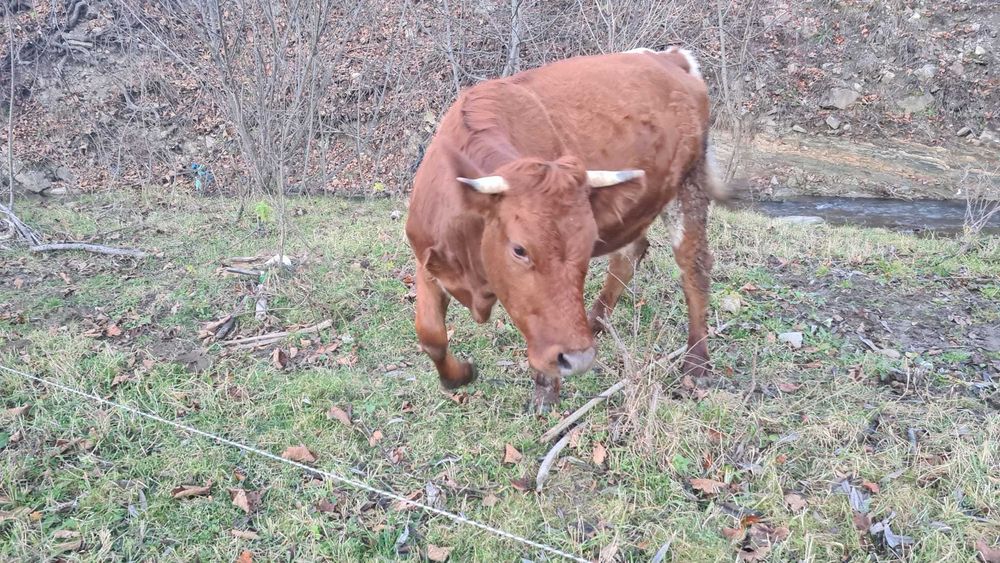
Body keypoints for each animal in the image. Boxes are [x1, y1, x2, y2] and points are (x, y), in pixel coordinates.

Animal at [404, 47, 727, 411]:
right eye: (519, 249)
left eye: (587, 246)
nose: (579, 358)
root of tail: (669, 57)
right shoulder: (428, 260)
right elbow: (430, 334)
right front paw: (458, 375)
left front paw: (546, 389)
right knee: (629, 255)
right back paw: (595, 322)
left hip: (690, 186)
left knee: (694, 269)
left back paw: (696, 363)